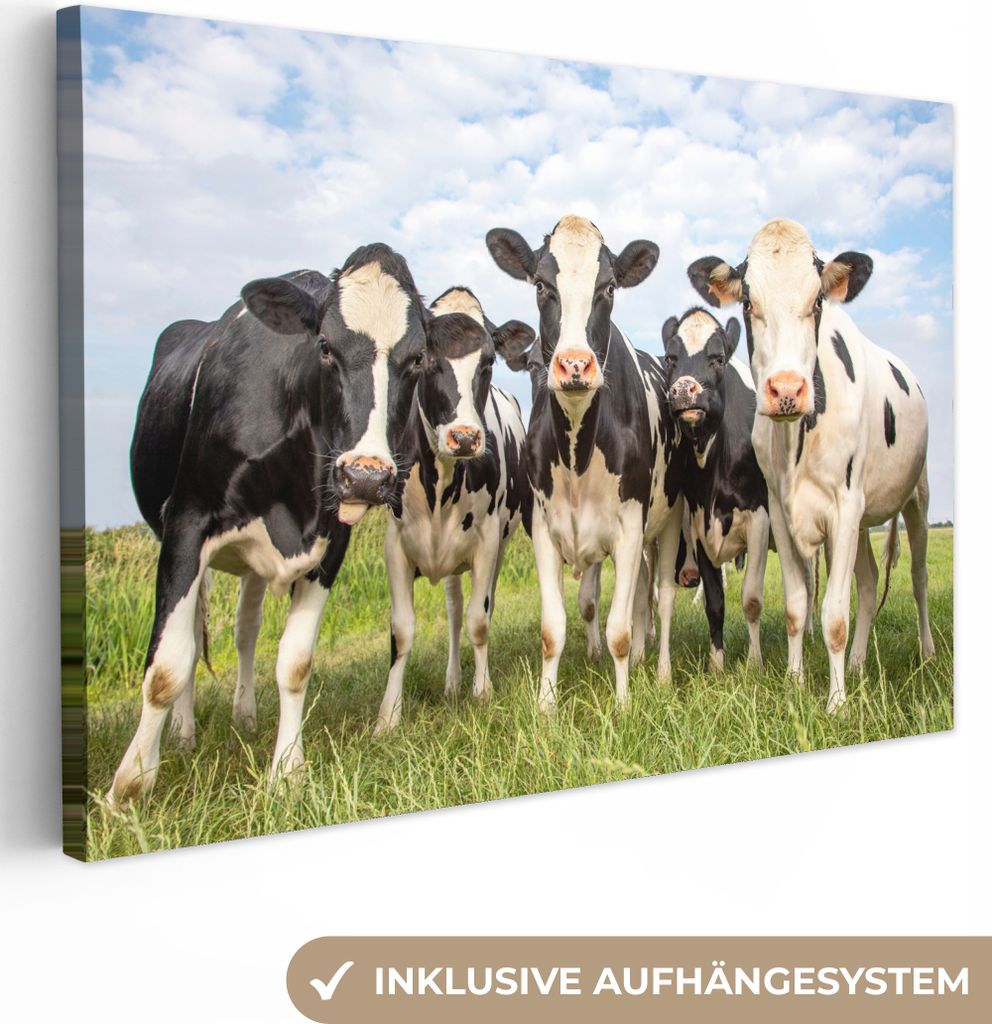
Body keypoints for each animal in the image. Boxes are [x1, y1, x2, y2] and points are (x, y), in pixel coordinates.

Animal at [110, 244, 429, 802]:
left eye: (417, 358)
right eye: (324, 347)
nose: (366, 477)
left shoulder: (330, 540)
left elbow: (295, 662)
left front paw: (287, 769)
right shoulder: (185, 523)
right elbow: (167, 664)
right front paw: (129, 785)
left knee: (244, 630)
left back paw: (244, 714)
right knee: (193, 636)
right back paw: (184, 733)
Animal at [376, 287, 533, 731]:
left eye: (489, 361)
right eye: (423, 358)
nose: (464, 437)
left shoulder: (487, 541)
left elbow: (480, 621)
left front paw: (483, 692)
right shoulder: (395, 544)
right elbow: (402, 631)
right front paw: (388, 716)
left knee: (478, 608)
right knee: (453, 612)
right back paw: (451, 681)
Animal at [486, 215, 685, 712]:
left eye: (609, 287)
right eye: (541, 284)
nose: (575, 364)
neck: (578, 450)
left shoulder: (631, 526)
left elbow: (619, 629)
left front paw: (624, 705)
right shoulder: (543, 527)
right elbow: (553, 628)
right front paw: (546, 706)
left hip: (670, 519)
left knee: (663, 596)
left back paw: (660, 672)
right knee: (635, 594)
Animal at [661, 307, 771, 671]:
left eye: (718, 358)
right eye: (671, 358)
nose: (683, 390)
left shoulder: (760, 518)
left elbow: (751, 598)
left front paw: (754, 664)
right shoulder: (699, 526)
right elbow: (715, 603)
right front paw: (716, 665)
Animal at [688, 218, 934, 711]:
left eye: (817, 300)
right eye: (748, 301)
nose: (786, 389)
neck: (795, 442)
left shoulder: (843, 506)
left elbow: (834, 615)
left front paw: (836, 703)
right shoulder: (781, 513)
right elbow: (797, 605)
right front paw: (795, 682)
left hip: (916, 498)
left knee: (917, 578)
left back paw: (926, 652)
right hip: (863, 521)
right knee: (868, 582)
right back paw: (857, 663)